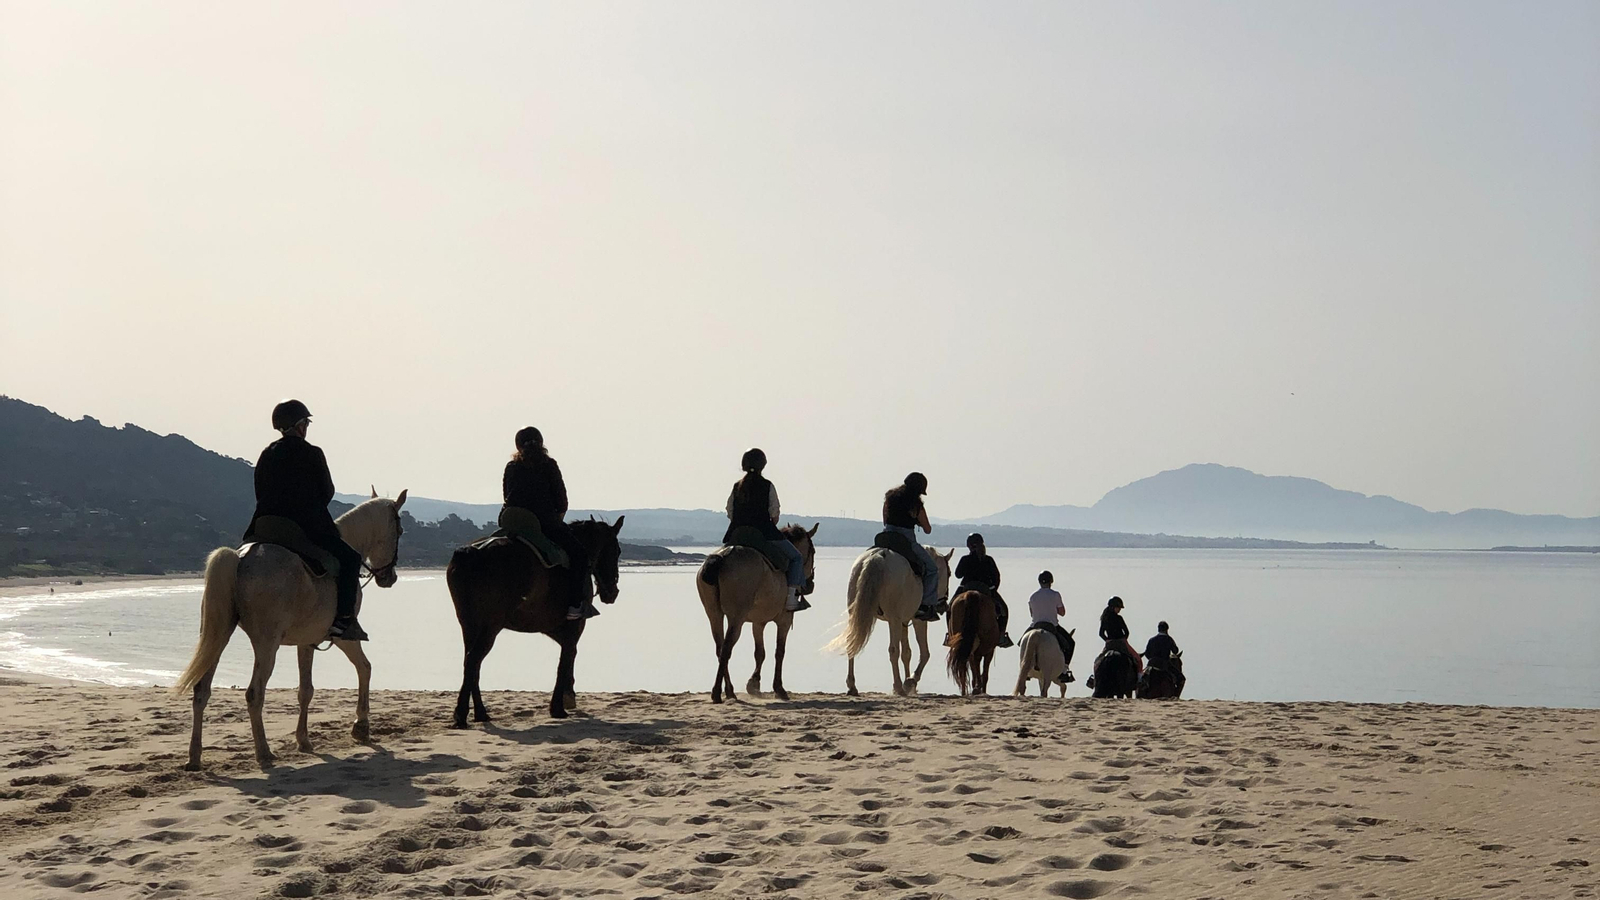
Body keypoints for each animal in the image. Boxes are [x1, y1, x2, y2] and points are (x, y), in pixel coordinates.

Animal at [174, 489, 408, 771]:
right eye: (400, 530)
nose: (389, 578)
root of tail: (239, 558)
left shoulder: (306, 641)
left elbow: (305, 691)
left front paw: (303, 740)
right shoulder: (342, 637)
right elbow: (364, 667)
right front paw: (361, 726)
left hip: (217, 637)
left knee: (201, 692)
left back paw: (194, 757)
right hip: (266, 645)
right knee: (254, 694)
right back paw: (264, 753)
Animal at [445, 517, 624, 726]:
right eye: (617, 551)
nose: (612, 592)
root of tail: (474, 553)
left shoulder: (553, 628)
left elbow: (569, 655)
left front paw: (567, 697)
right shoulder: (574, 626)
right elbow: (566, 658)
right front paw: (559, 705)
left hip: (469, 624)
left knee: (470, 662)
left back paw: (479, 713)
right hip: (490, 626)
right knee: (474, 659)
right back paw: (462, 714)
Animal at [696, 524, 819, 703]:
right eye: (813, 551)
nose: (810, 584)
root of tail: (722, 557)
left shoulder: (758, 622)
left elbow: (759, 653)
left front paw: (754, 684)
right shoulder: (784, 620)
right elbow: (779, 652)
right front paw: (779, 688)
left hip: (714, 614)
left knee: (720, 649)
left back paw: (729, 691)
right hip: (736, 618)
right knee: (726, 649)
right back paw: (718, 692)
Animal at [826, 546, 952, 697]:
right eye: (949, 574)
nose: (944, 606)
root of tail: (878, 556)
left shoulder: (903, 622)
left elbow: (906, 653)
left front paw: (910, 684)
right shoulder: (917, 620)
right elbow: (924, 653)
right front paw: (910, 681)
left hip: (860, 615)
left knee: (852, 642)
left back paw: (852, 686)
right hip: (894, 620)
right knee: (893, 650)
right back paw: (898, 686)